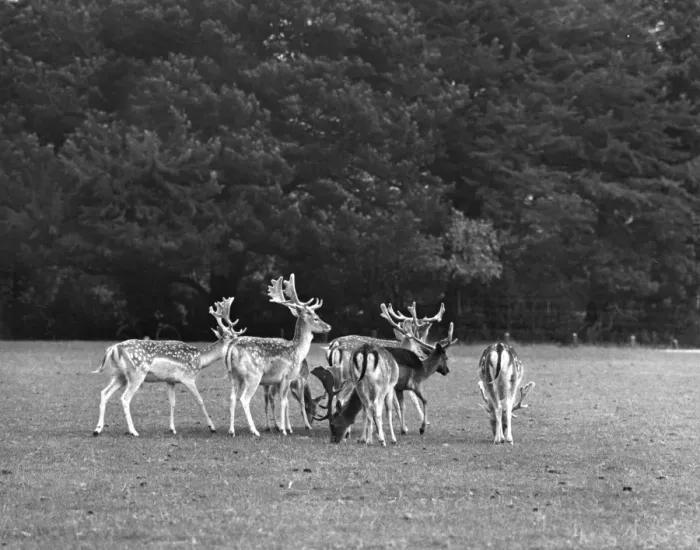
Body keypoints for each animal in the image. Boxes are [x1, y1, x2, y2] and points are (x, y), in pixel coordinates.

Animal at [92, 298, 246, 437]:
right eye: (232, 337)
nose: (242, 344)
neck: (200, 360)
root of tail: (113, 348)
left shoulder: (170, 380)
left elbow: (172, 403)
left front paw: (172, 429)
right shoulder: (188, 377)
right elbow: (200, 401)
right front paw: (212, 427)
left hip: (120, 375)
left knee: (104, 393)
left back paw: (97, 429)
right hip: (136, 374)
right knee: (124, 398)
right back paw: (133, 431)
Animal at [223, 274, 331, 437]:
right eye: (315, 317)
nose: (328, 326)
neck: (297, 351)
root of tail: (231, 347)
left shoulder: (278, 381)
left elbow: (283, 401)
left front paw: (283, 427)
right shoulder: (287, 376)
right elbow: (285, 401)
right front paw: (284, 430)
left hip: (234, 376)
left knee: (232, 398)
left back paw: (231, 431)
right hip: (253, 375)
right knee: (244, 399)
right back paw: (254, 431)